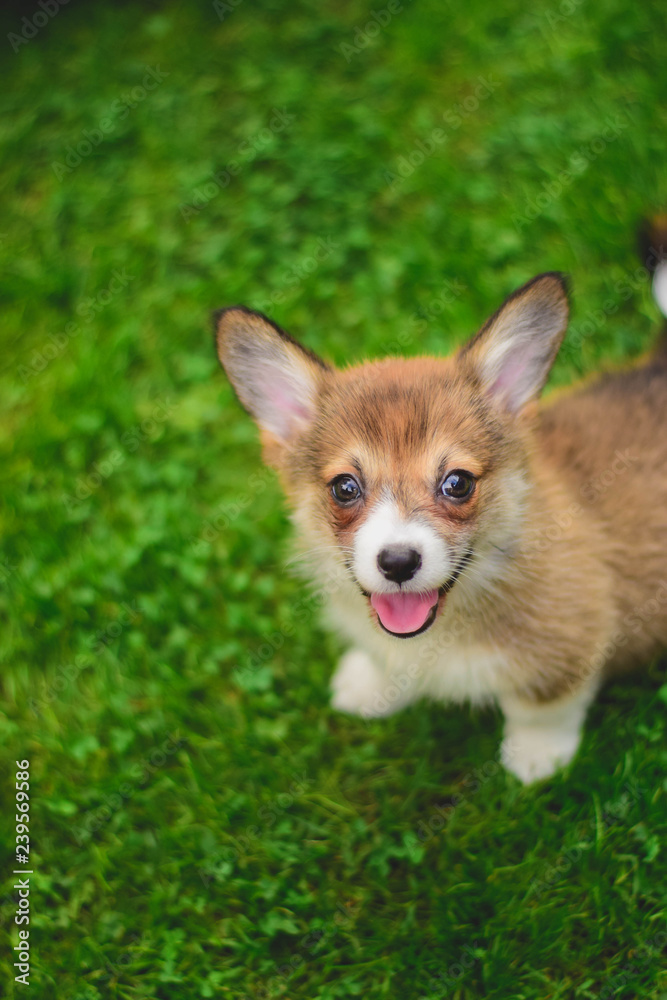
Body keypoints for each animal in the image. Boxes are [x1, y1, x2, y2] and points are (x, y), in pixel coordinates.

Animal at [215, 238, 667, 784]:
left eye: (457, 483)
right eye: (345, 487)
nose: (398, 563)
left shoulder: (572, 642)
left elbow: (542, 706)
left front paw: (536, 757)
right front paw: (369, 684)